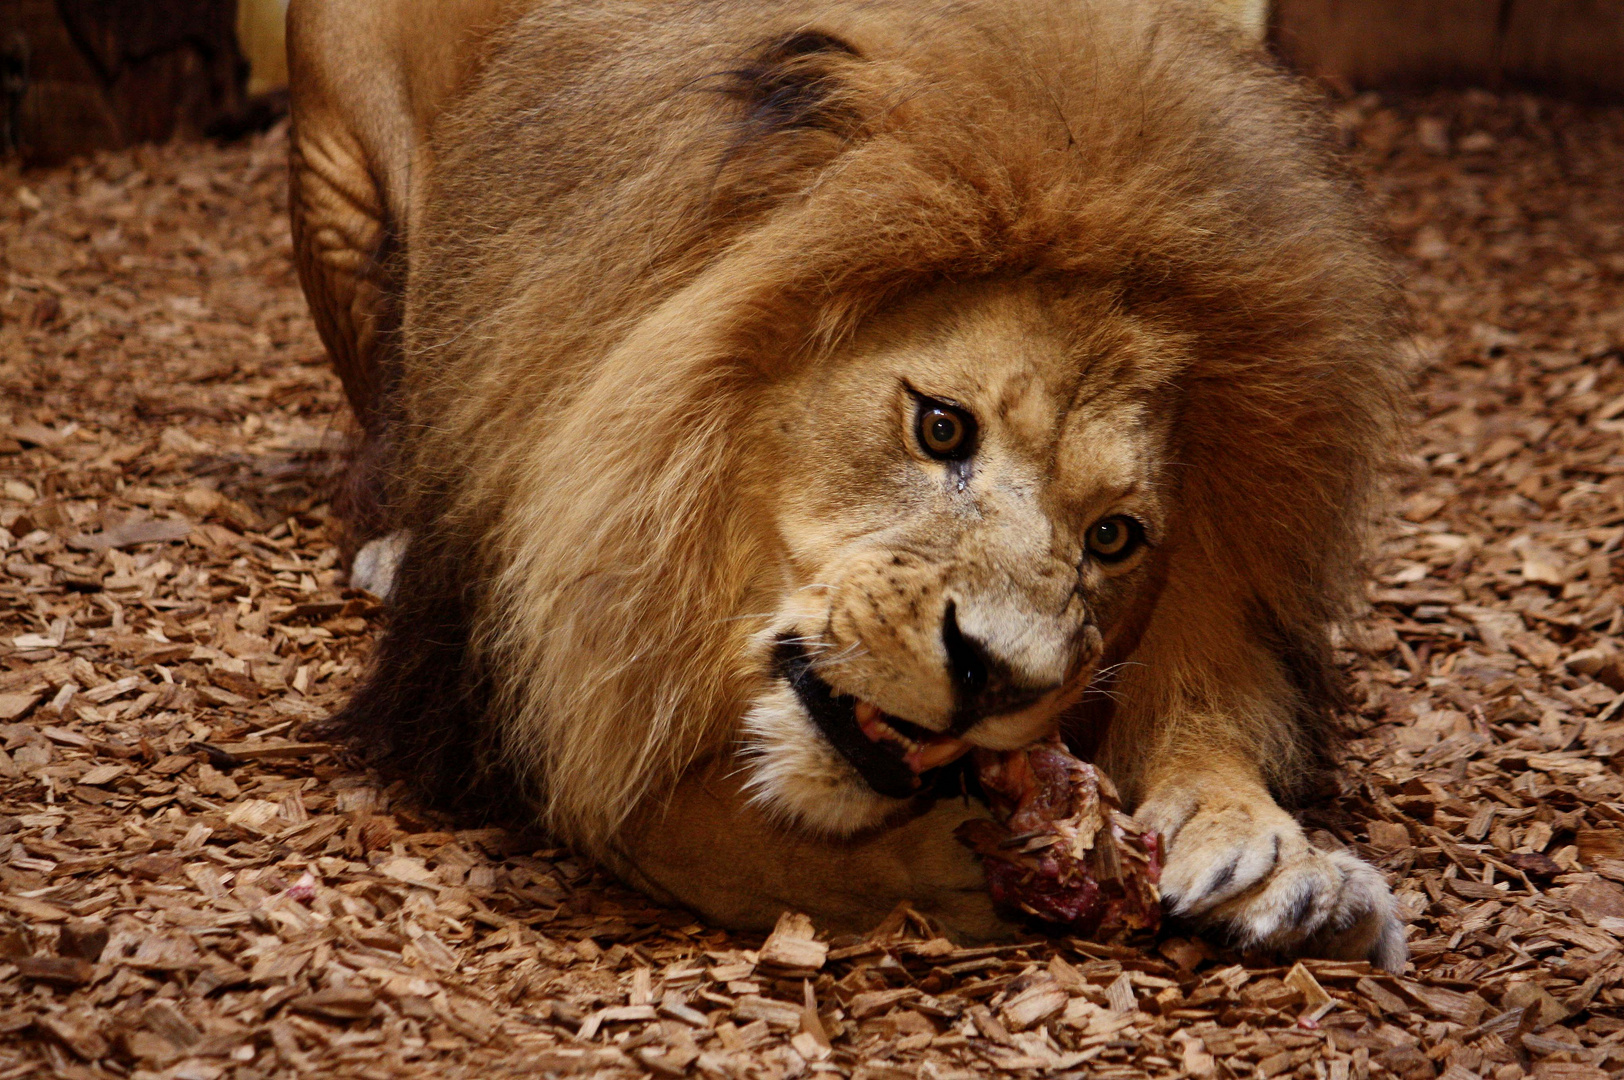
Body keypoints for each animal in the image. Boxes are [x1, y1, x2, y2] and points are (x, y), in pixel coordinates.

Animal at [289, 0, 1409, 961]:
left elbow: (1206, 705)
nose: (1000, 678)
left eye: (1114, 536)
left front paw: (1277, 860)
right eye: (941, 426)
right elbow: (693, 820)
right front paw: (956, 866)